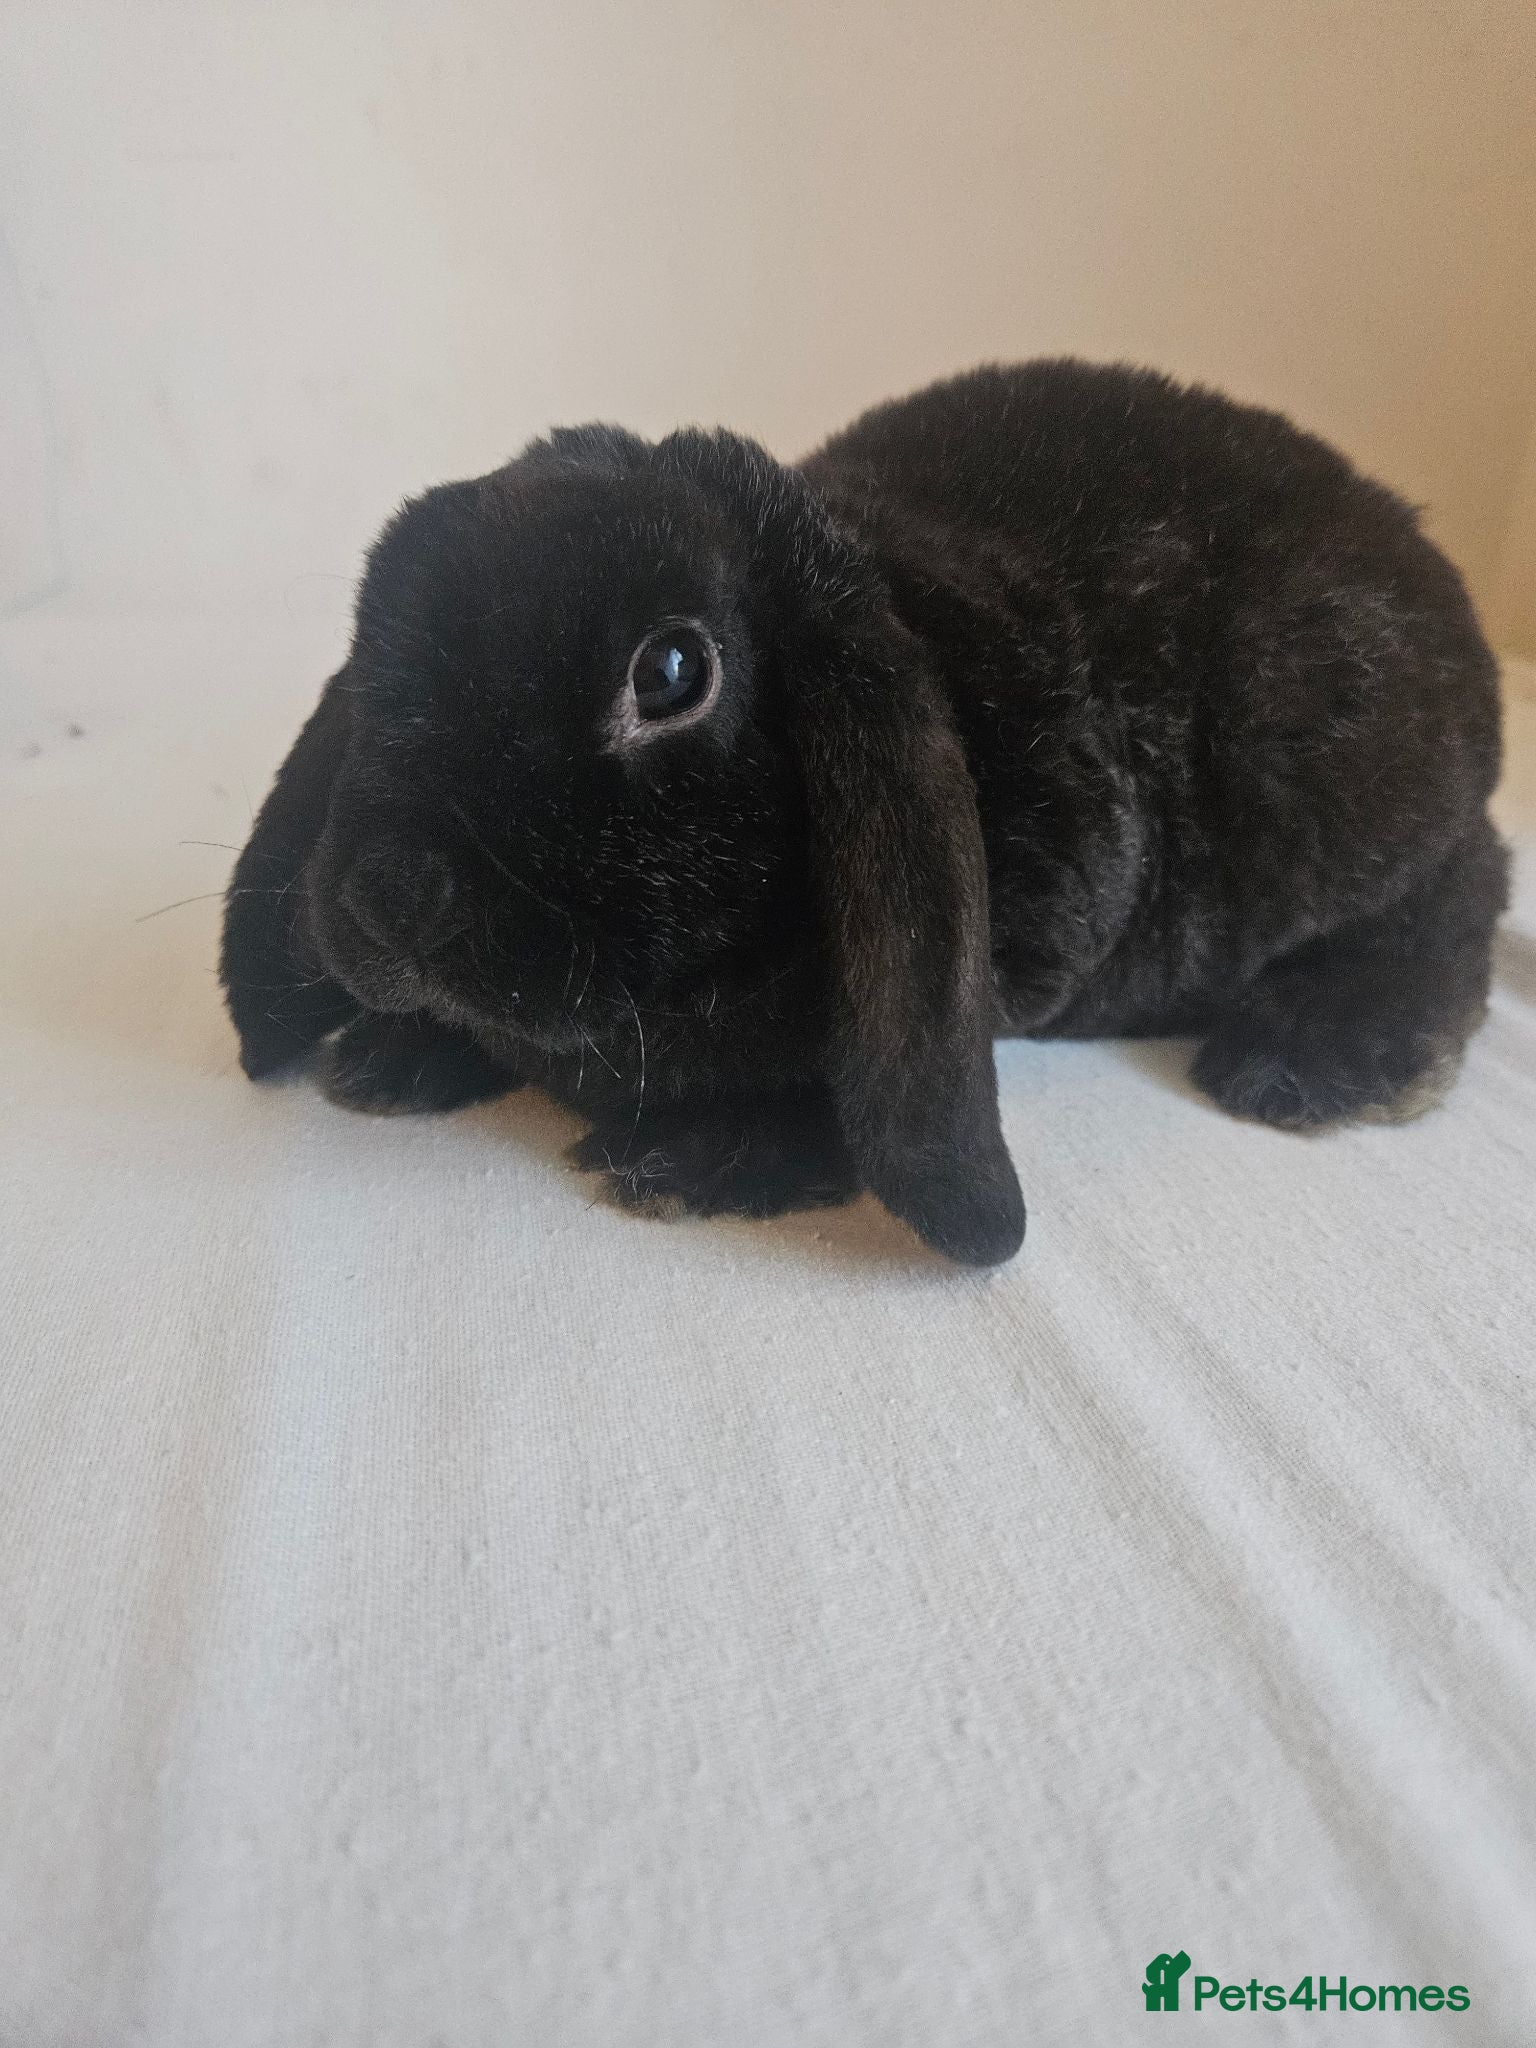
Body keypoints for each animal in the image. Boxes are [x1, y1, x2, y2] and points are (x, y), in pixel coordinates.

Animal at [221, 359, 1507, 1267]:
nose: (389, 892)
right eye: (373, 642)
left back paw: (1318, 1057)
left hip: (1337, 786)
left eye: (672, 672)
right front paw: (392, 1052)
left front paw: (703, 1157)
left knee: (1465, 879)